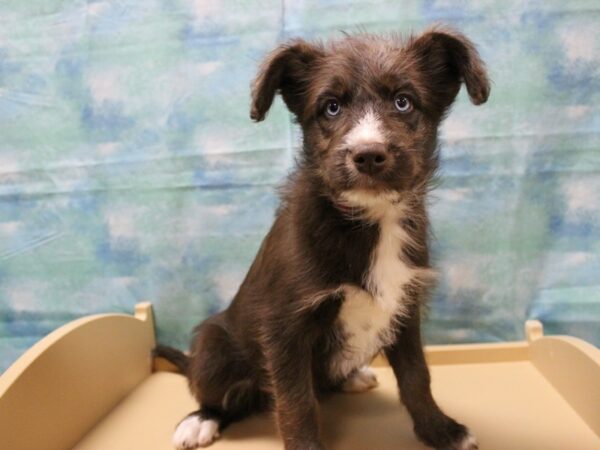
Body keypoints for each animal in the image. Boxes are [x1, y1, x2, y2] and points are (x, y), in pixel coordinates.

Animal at [157, 26, 490, 448]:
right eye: (331, 107)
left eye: (403, 102)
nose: (368, 155)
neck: (370, 220)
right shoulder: (284, 327)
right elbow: (296, 403)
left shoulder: (405, 308)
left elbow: (418, 377)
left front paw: (441, 431)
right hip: (213, 347)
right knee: (224, 396)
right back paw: (200, 419)